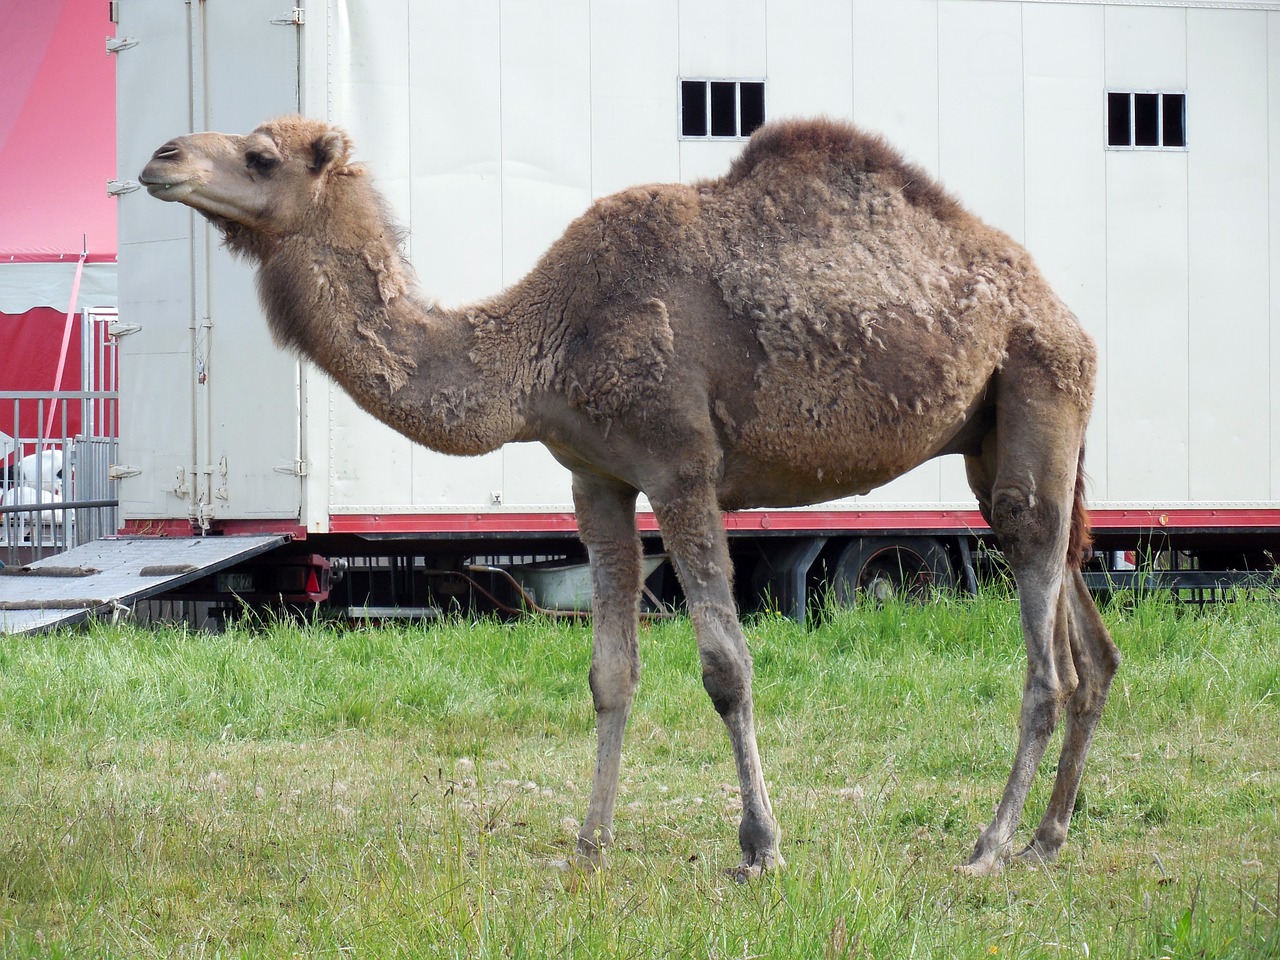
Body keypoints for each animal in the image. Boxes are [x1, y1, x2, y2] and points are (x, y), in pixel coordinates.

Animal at [142, 116, 1121, 885]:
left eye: (261, 155)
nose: (160, 157)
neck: (546, 342)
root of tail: (1062, 312)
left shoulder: (681, 465)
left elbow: (726, 666)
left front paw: (760, 846)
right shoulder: (597, 477)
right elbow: (609, 671)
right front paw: (590, 843)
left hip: (1037, 389)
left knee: (1048, 660)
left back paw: (988, 847)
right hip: (1004, 439)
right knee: (1090, 642)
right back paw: (1047, 841)